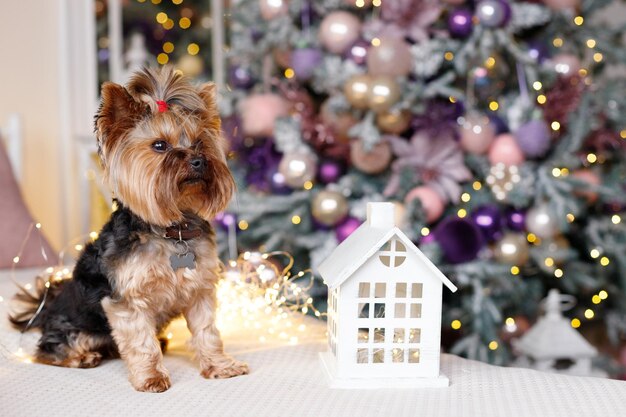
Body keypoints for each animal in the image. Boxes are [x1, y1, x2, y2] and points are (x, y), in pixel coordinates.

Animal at [9, 66, 249, 392]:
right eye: (160, 145)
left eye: (199, 143)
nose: (199, 160)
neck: (170, 230)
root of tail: (45, 306)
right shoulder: (127, 302)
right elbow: (140, 342)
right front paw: (151, 377)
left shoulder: (200, 290)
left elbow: (207, 332)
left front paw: (220, 366)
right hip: (77, 327)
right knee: (49, 349)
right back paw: (81, 357)